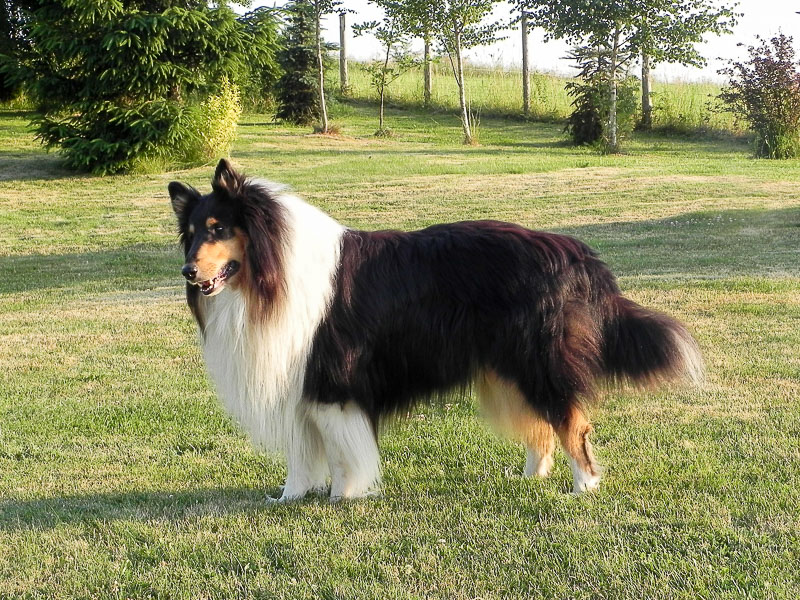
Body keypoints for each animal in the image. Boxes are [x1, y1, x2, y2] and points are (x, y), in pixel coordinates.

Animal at [169, 159, 700, 502]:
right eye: (191, 233)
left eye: (219, 228)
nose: (189, 273)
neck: (270, 270)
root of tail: (577, 254)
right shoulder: (300, 388)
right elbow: (302, 457)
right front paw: (290, 498)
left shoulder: (334, 384)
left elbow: (344, 453)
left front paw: (345, 496)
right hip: (506, 370)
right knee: (541, 429)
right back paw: (529, 479)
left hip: (538, 364)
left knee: (572, 422)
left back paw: (584, 487)